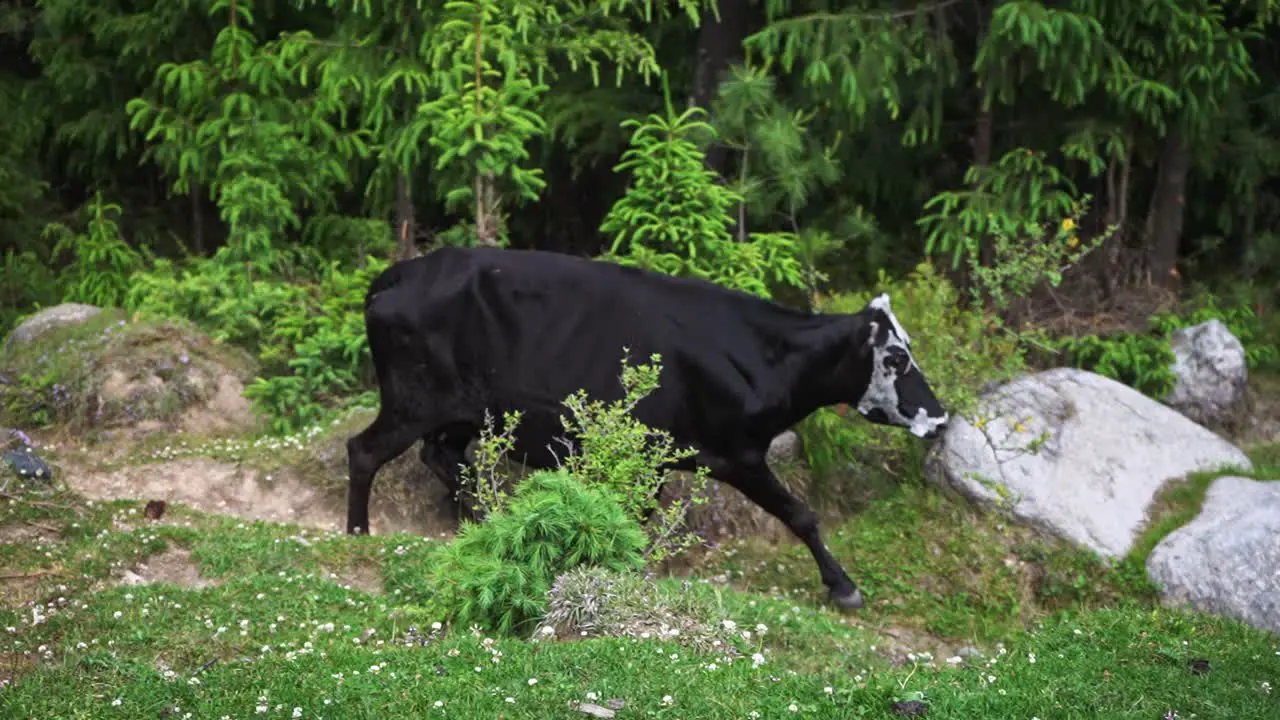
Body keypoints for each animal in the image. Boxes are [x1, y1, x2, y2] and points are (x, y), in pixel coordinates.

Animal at [345, 244, 947, 604]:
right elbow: (800, 513)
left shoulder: (659, 458)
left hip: (465, 413)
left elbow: (636, 515)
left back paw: (485, 523)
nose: (940, 416)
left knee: (443, 458)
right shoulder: (737, 452)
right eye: (897, 358)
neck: (761, 356)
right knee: (365, 451)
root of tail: (394, 274)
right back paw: (358, 534)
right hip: (415, 401)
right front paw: (843, 587)